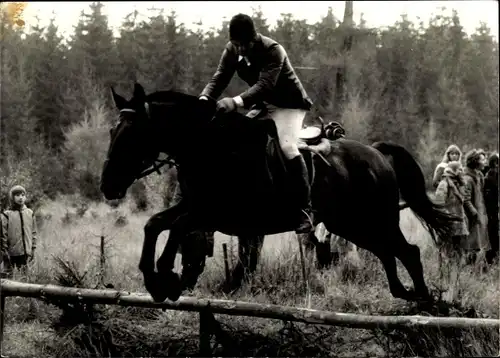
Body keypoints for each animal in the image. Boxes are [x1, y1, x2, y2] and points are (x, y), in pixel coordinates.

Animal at [99, 83, 458, 302]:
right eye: (113, 130)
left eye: (132, 135)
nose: (107, 186)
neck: (210, 147)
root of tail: (378, 154)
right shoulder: (197, 207)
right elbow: (155, 224)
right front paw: (153, 278)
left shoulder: (216, 213)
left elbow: (175, 228)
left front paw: (165, 278)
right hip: (350, 224)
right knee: (389, 252)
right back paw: (406, 293)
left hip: (372, 219)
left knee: (407, 251)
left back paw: (424, 300)